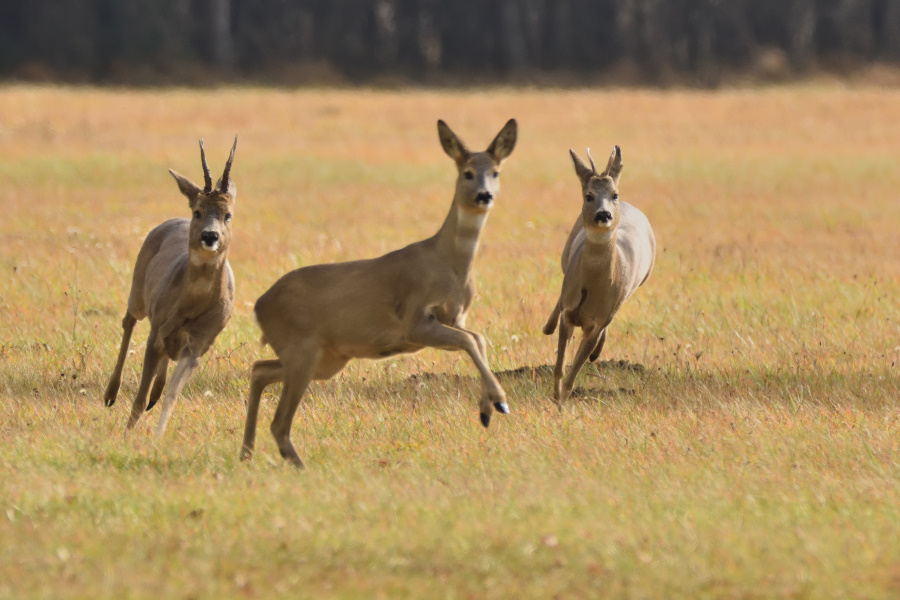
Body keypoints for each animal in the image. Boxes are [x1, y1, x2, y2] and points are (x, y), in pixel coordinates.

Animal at [103, 137, 239, 436]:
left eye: (228, 215)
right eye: (198, 211)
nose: (210, 236)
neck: (192, 306)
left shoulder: (199, 346)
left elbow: (173, 396)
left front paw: (158, 435)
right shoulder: (155, 334)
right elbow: (139, 397)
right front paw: (127, 434)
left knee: (163, 370)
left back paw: (155, 392)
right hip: (139, 292)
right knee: (128, 320)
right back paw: (110, 394)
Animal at [243, 118, 516, 468]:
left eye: (496, 172)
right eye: (467, 172)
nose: (484, 195)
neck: (448, 264)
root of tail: (258, 306)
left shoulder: (454, 317)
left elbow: (477, 338)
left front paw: (486, 409)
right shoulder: (414, 320)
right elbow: (470, 340)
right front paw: (499, 402)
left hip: (326, 359)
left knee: (259, 369)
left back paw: (247, 452)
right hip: (302, 347)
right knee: (278, 421)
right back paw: (298, 466)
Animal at [540, 145, 652, 400]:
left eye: (614, 195)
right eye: (588, 195)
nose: (604, 214)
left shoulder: (599, 320)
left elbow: (573, 372)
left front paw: (562, 400)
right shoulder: (569, 312)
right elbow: (560, 367)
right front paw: (556, 397)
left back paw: (596, 354)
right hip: (565, 258)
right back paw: (547, 327)